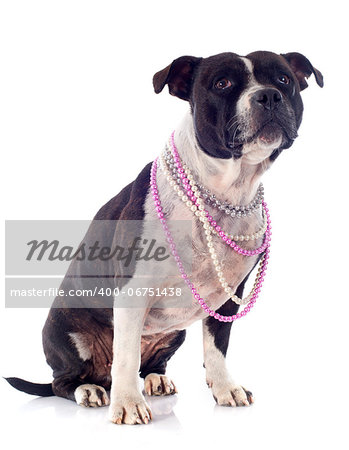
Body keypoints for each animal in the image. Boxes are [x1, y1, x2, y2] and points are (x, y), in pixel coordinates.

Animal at [6, 51, 320, 424]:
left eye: (284, 79)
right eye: (222, 83)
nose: (269, 95)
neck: (223, 192)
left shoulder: (230, 296)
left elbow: (217, 346)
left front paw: (225, 388)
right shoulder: (131, 292)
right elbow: (126, 356)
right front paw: (128, 404)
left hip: (175, 333)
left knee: (148, 363)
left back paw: (156, 379)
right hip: (67, 332)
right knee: (66, 380)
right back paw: (90, 390)